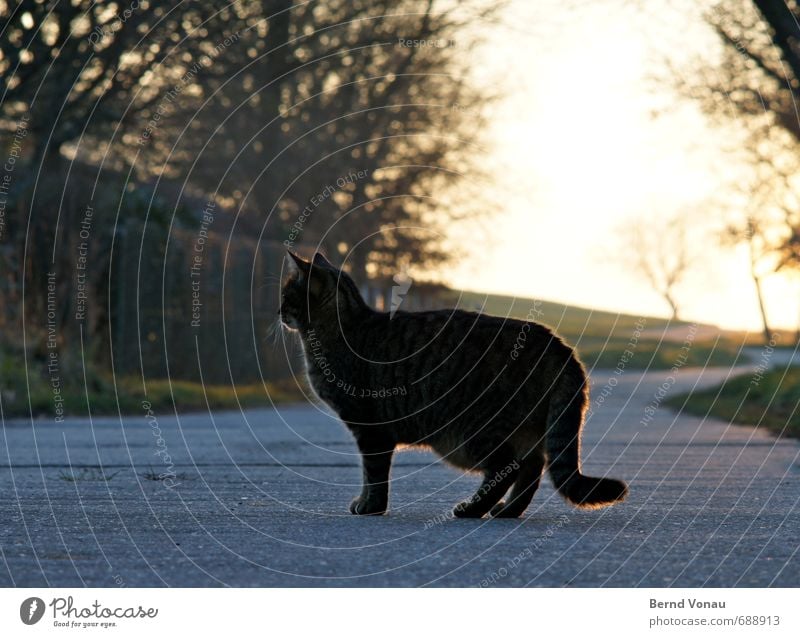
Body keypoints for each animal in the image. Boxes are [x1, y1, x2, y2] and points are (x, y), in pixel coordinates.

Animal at [278, 248, 628, 516]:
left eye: (286, 295)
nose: (278, 311)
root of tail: (558, 344)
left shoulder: (370, 430)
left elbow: (373, 474)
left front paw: (370, 507)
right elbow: (369, 474)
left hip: (474, 431)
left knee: (509, 468)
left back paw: (473, 509)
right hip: (523, 429)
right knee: (532, 468)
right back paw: (507, 510)